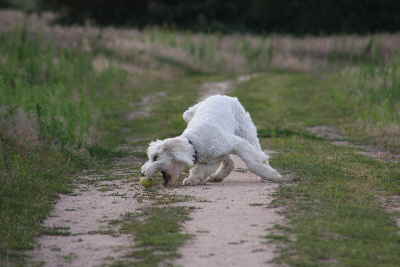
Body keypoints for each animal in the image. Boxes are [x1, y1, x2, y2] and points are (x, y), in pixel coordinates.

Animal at [139, 96, 286, 186]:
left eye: (155, 157)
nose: (142, 172)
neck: (195, 143)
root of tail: (224, 96)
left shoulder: (237, 143)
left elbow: (252, 162)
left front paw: (273, 175)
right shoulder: (209, 160)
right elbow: (200, 170)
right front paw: (192, 179)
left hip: (246, 132)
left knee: (256, 150)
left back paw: (265, 168)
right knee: (229, 162)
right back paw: (217, 176)